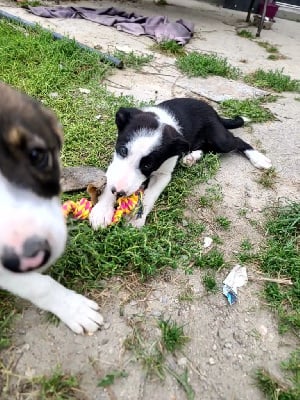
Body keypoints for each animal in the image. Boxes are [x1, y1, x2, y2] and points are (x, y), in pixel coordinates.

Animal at [89, 97, 272, 230]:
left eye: (148, 165)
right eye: (122, 151)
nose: (119, 191)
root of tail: (213, 111)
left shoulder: (164, 174)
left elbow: (151, 195)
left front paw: (137, 216)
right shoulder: (115, 164)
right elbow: (108, 182)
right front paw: (102, 211)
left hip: (220, 139)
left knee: (237, 140)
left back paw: (258, 158)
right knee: (205, 147)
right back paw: (192, 157)